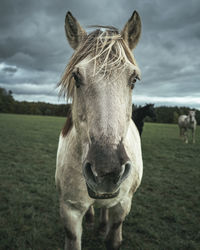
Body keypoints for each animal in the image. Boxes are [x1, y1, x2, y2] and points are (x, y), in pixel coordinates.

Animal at [55, 10, 143, 250]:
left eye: (134, 79)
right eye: (76, 76)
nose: (106, 170)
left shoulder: (123, 204)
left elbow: (114, 235)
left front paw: (110, 233)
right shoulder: (69, 210)